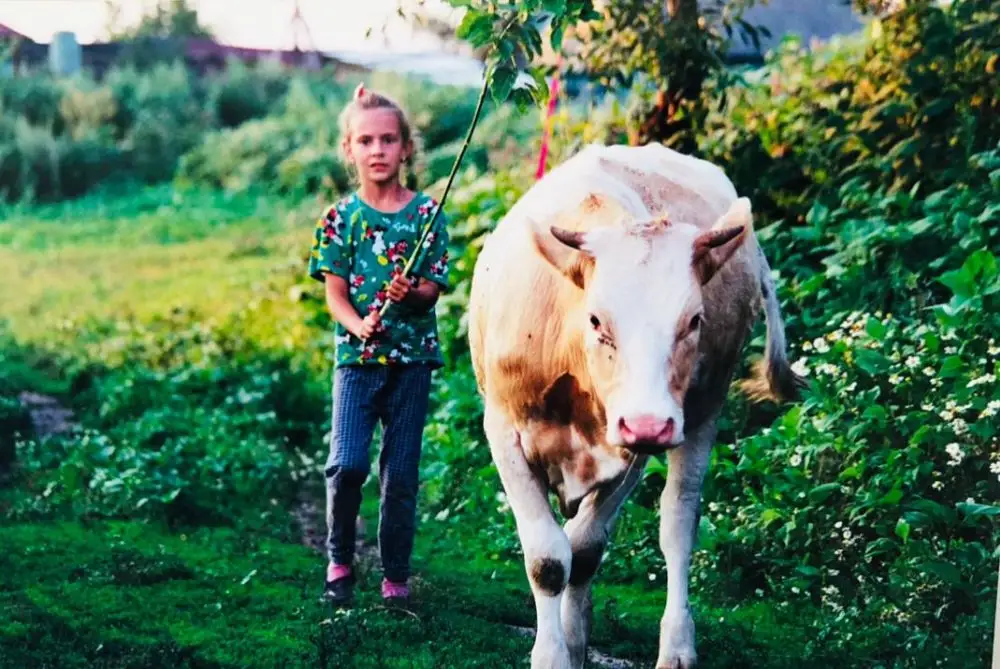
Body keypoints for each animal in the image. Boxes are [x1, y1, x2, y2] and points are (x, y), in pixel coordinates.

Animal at [468, 142, 804, 668]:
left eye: (694, 320)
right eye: (596, 320)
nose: (648, 424)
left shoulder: (633, 443)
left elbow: (584, 550)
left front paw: (573, 641)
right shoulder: (504, 429)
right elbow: (549, 559)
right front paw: (556, 653)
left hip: (701, 413)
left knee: (678, 526)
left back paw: (677, 646)